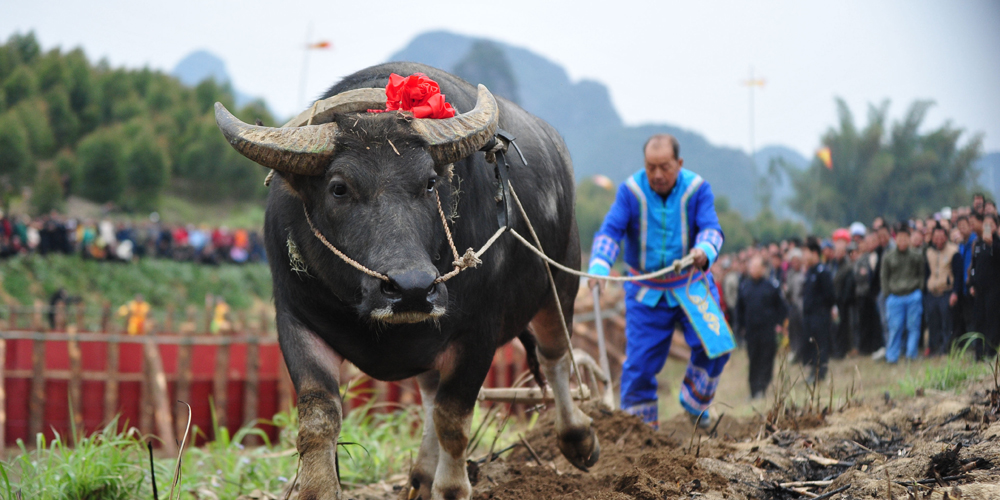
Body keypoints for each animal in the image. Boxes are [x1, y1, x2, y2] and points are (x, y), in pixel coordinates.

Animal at [215, 62, 596, 500]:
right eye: (338, 188)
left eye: (430, 183)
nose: (412, 289)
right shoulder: (296, 322)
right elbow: (318, 417)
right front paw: (318, 487)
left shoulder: (478, 333)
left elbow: (453, 418)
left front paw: (453, 487)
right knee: (430, 395)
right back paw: (420, 478)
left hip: (560, 283)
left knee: (555, 356)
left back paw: (578, 438)